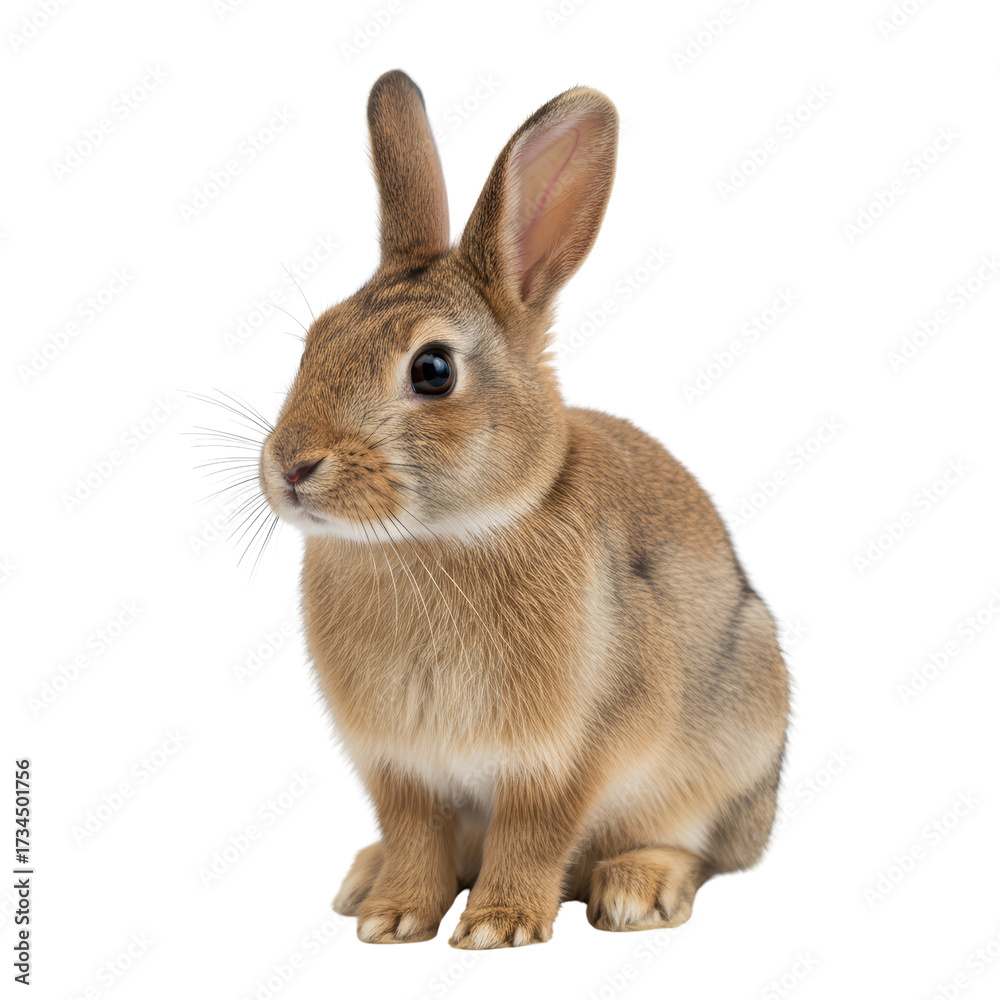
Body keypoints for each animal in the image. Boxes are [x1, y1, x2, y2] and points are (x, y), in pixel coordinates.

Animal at [256, 69, 789, 949]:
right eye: (314, 342)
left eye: (433, 370)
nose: (292, 466)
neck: (439, 538)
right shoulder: (399, 770)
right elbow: (415, 836)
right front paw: (393, 917)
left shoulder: (563, 759)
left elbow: (533, 834)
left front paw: (497, 927)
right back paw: (363, 878)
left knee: (701, 849)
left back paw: (638, 890)